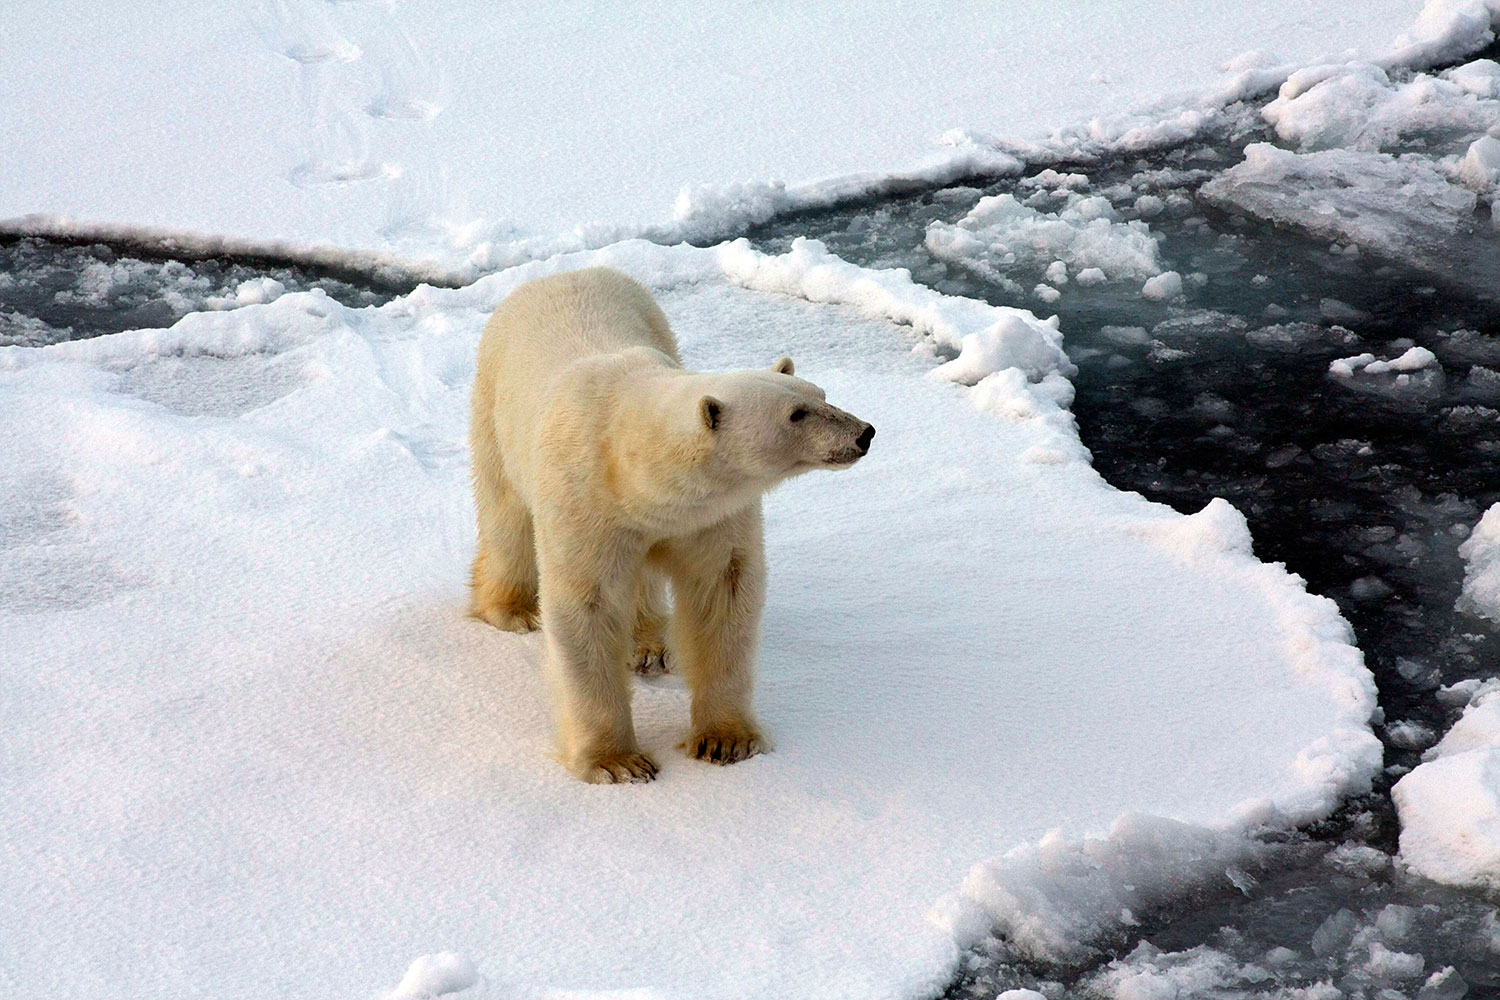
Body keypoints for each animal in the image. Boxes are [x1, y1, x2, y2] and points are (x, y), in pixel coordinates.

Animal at [465, 269, 870, 785]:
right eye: (795, 414)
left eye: (820, 394)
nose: (864, 433)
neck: (627, 463)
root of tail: (566, 273)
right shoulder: (583, 502)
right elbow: (588, 606)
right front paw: (618, 762)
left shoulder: (708, 516)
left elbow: (722, 591)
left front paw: (726, 740)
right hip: (495, 404)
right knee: (506, 515)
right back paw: (512, 609)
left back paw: (647, 647)